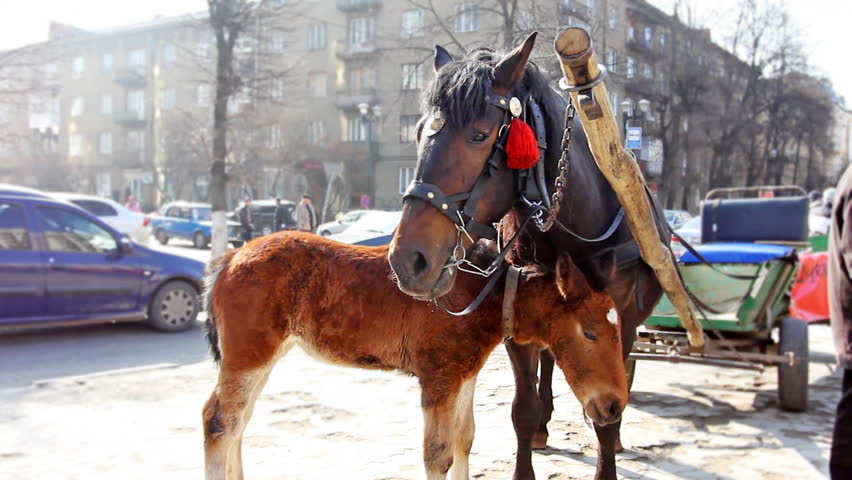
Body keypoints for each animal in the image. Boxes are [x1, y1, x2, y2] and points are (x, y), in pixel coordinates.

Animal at [202, 232, 627, 480]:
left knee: (239, 422)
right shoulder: (438, 379)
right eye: (589, 332)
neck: (480, 294)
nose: (613, 407)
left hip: (266, 354)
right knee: (219, 421)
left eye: (618, 328)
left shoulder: (464, 374)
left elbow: (464, 439)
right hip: (248, 355)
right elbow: (437, 456)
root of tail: (230, 257)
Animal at [387, 32, 670, 480]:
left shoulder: (619, 323)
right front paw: (532, 431)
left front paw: (609, 446)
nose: (408, 260)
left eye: (480, 135)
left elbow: (609, 409)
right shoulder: (515, 318)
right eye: (416, 133)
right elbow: (523, 406)